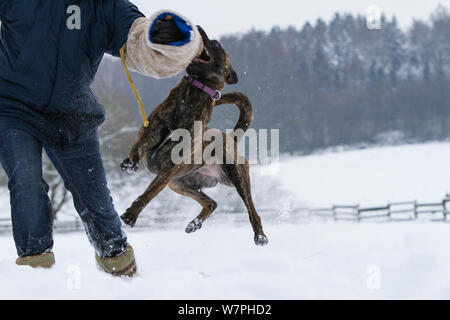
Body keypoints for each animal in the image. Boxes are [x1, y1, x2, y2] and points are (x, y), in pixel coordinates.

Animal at [119, 26, 268, 246]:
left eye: (216, 44)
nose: (197, 28)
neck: (191, 96)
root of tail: (231, 137)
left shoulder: (168, 170)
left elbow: (148, 194)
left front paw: (131, 215)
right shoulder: (150, 132)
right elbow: (138, 146)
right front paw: (130, 164)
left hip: (236, 176)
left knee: (252, 210)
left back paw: (260, 236)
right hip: (180, 184)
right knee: (211, 203)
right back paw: (194, 224)